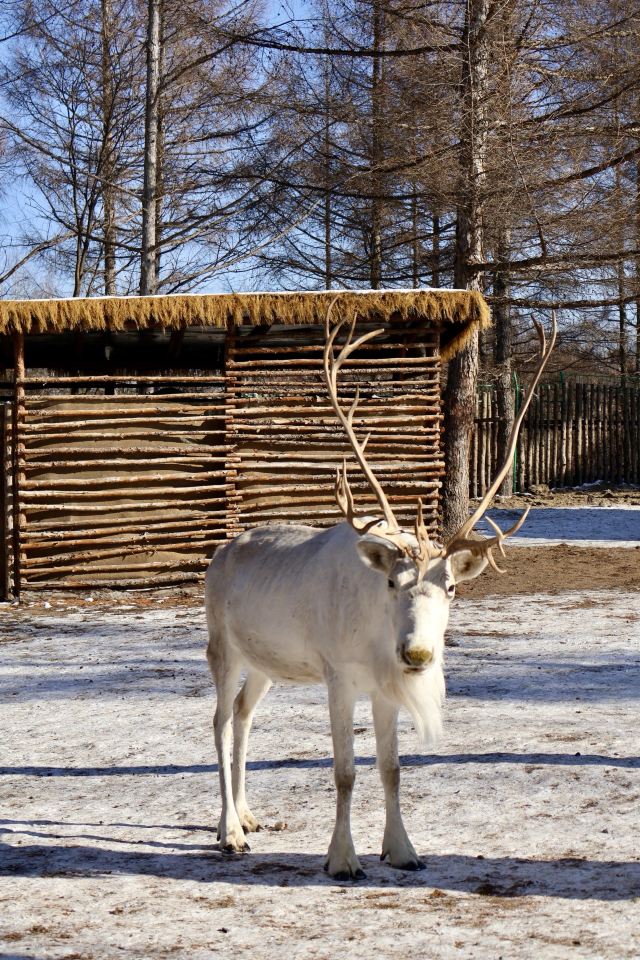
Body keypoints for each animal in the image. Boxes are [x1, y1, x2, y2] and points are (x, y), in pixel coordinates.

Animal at [205, 306, 556, 880]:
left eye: (451, 587)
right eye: (392, 582)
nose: (416, 653)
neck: (375, 639)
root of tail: (220, 554)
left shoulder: (385, 687)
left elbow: (391, 769)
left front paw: (403, 850)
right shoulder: (338, 676)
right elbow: (345, 771)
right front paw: (343, 859)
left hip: (266, 664)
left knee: (242, 714)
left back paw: (250, 815)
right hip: (223, 646)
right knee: (216, 720)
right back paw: (228, 831)